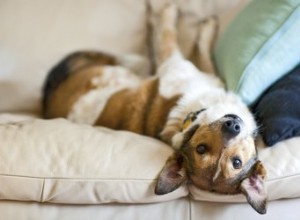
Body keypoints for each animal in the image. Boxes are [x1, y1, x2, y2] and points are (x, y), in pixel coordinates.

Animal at [41, 2, 268, 214]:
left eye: (236, 163)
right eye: (201, 149)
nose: (233, 126)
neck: (189, 119)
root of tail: (50, 99)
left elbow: (184, 44)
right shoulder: (179, 65)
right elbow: (174, 37)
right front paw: (175, 12)